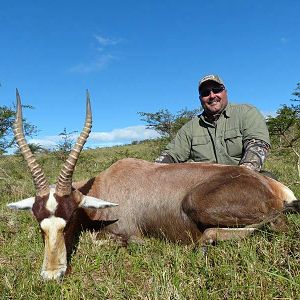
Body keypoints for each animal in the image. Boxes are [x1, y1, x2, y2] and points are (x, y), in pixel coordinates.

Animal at [8, 90, 298, 280]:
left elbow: (102, 241)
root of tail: (271, 185)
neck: (104, 184)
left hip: (200, 205)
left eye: (67, 221)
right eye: (40, 224)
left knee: (272, 225)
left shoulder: (127, 233)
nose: (51, 275)